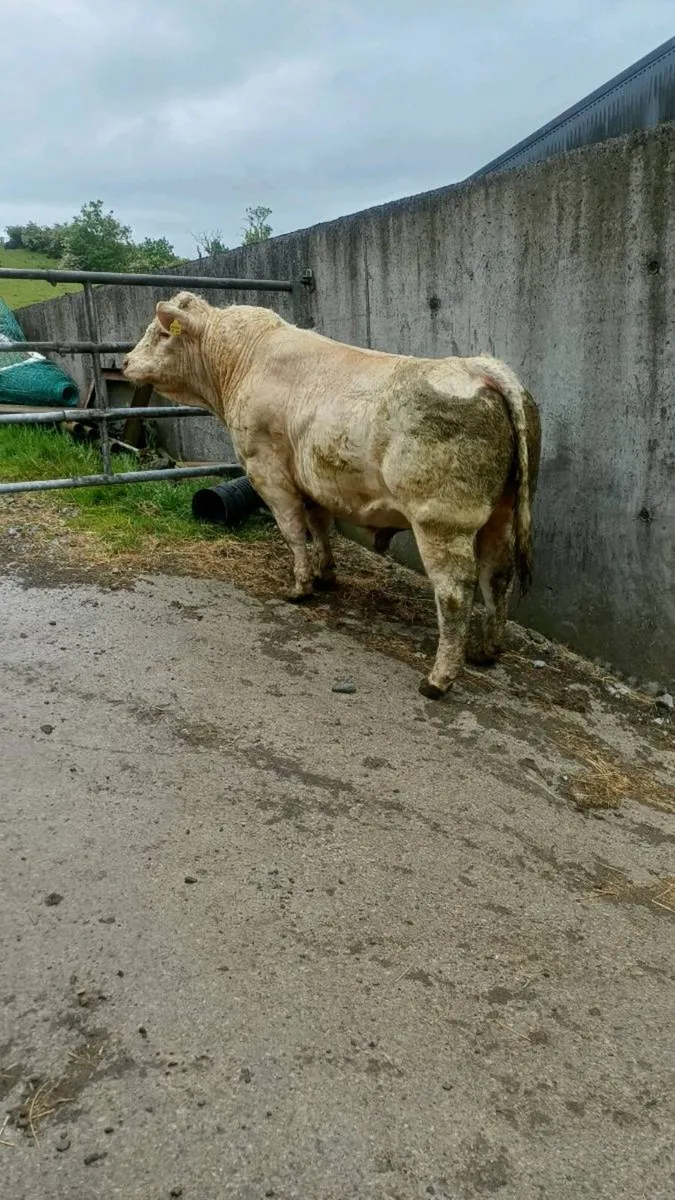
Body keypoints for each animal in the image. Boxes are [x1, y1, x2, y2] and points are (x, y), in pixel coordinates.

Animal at [123, 293, 541, 699]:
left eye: (160, 333)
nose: (125, 361)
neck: (243, 359)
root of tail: (480, 367)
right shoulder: (312, 479)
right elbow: (320, 526)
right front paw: (325, 574)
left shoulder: (268, 472)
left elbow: (294, 532)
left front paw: (300, 586)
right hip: (501, 513)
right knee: (496, 576)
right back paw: (485, 652)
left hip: (441, 521)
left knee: (455, 594)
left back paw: (438, 680)